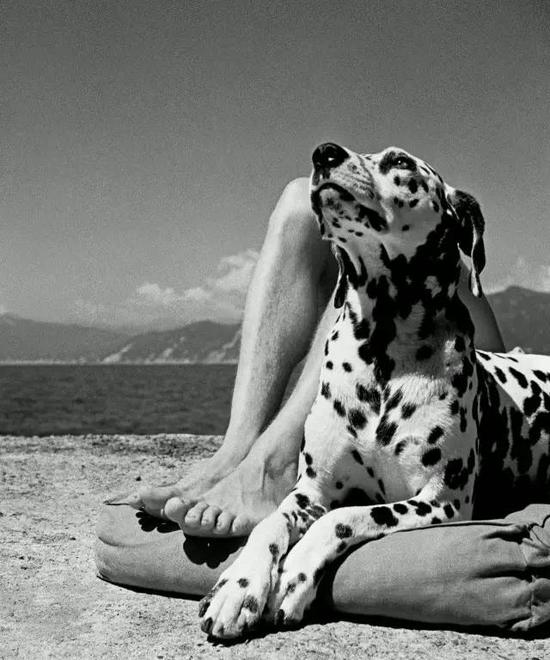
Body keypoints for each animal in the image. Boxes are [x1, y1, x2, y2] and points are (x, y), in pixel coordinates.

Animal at [198, 143, 550, 640]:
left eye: (400, 162)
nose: (324, 152)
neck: (381, 347)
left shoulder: (440, 503)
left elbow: (343, 517)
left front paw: (293, 577)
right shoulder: (310, 491)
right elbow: (269, 523)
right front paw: (239, 585)